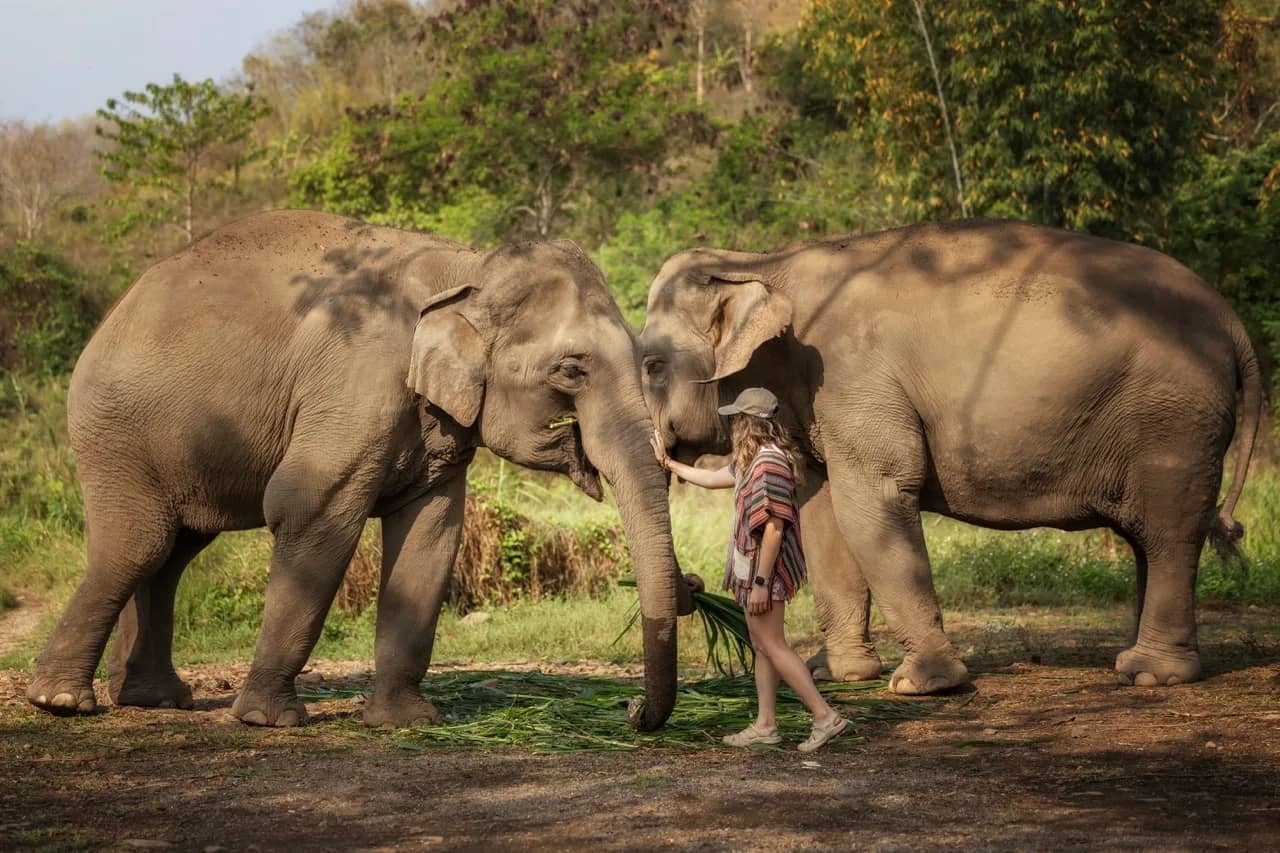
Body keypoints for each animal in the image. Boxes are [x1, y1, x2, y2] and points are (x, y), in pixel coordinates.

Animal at [26, 209, 693, 730]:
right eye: (571, 370)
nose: (632, 711)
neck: (467, 269)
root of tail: (113, 314)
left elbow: (430, 537)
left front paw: (405, 722)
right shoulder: (354, 383)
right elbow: (311, 510)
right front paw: (269, 720)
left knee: (174, 552)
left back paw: (155, 701)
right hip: (117, 433)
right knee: (140, 544)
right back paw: (61, 702)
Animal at [639, 219, 1262, 695]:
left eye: (651, 365)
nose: (694, 582)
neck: (760, 261)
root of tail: (1234, 324)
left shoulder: (853, 374)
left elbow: (872, 501)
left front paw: (922, 685)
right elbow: (820, 514)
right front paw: (837, 674)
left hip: (1175, 420)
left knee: (1169, 530)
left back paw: (1151, 674)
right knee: (1146, 537)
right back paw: (1138, 660)